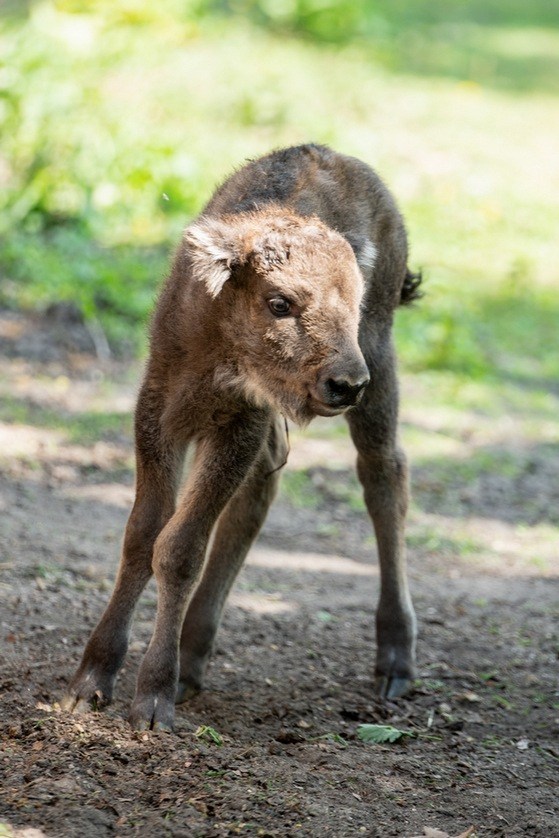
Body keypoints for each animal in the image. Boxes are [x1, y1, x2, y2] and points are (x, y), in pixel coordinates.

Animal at [62, 146, 420, 736]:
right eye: (280, 303)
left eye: (353, 300)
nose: (345, 383)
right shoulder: (160, 415)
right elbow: (143, 534)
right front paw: (90, 681)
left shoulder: (237, 426)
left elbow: (179, 549)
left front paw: (153, 700)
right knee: (260, 495)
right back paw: (192, 658)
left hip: (380, 365)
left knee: (382, 475)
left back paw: (395, 663)